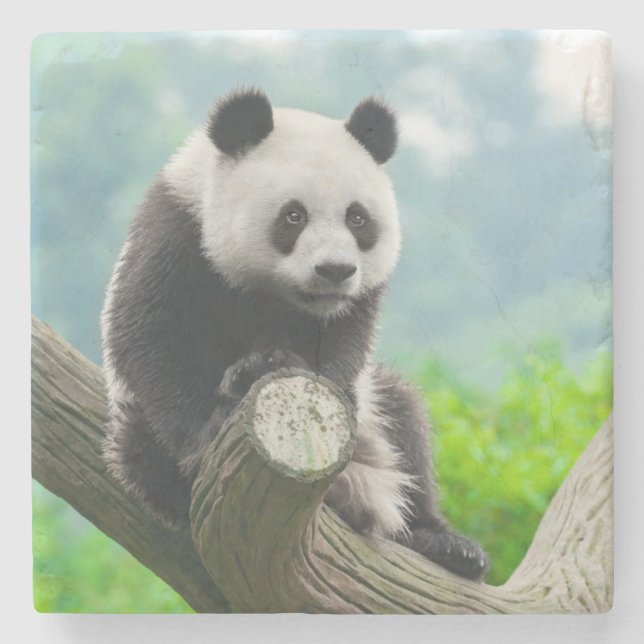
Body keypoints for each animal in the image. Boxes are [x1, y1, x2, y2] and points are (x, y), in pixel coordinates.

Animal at [101, 88, 488, 580]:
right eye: (293, 216)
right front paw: (218, 418)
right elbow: (152, 337)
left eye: (357, 219)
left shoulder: (355, 304)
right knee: (139, 449)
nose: (335, 270)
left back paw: (446, 545)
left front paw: (269, 363)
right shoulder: (175, 233)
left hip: (376, 422)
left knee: (406, 423)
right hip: (133, 426)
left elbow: (343, 346)